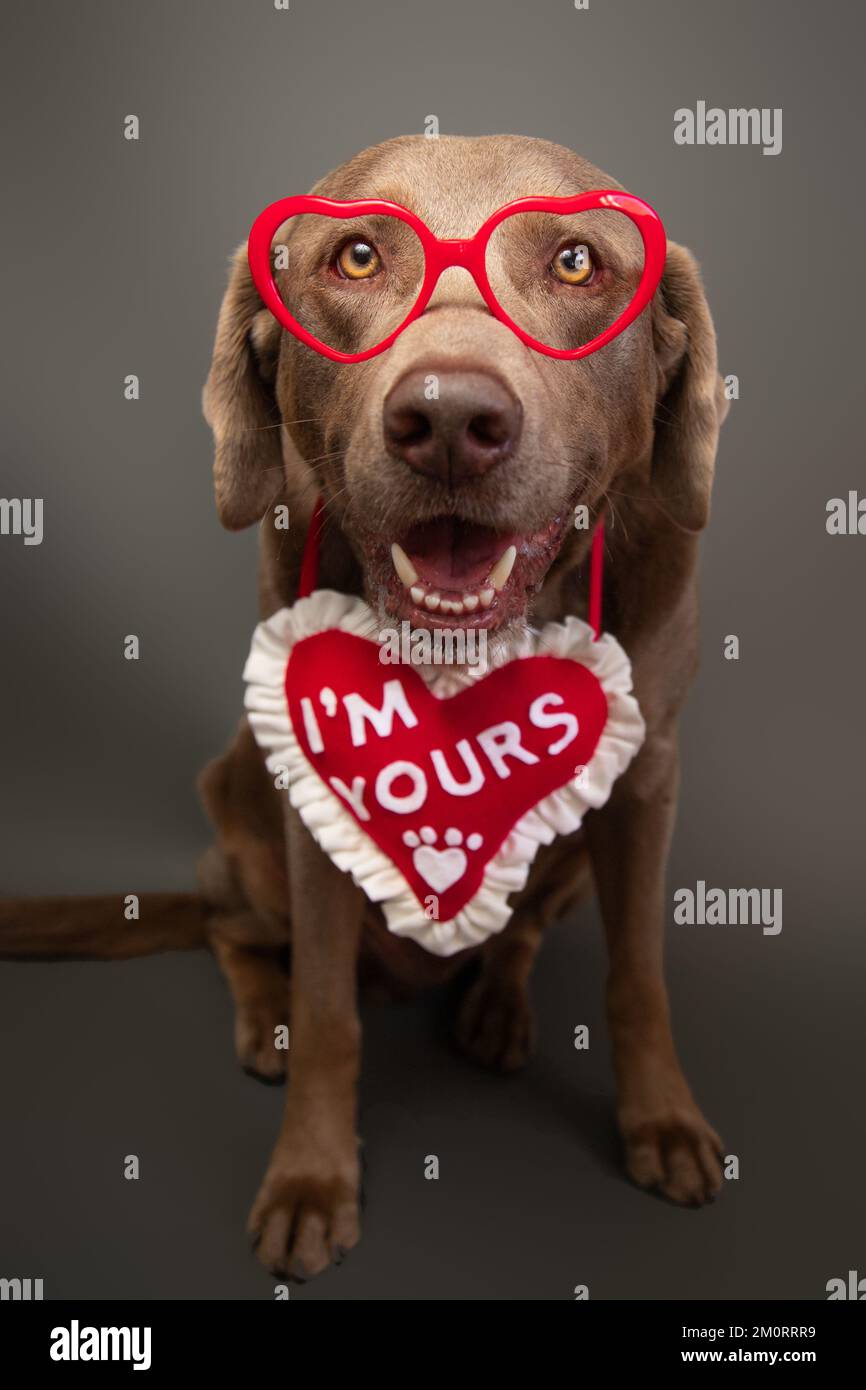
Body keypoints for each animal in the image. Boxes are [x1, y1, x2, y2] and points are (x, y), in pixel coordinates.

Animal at [1, 135, 733, 1273]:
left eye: (577, 262)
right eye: (354, 257)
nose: (450, 421)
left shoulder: (648, 773)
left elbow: (638, 979)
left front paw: (661, 1121)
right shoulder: (315, 792)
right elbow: (327, 1013)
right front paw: (309, 1178)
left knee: (520, 928)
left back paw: (495, 1007)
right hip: (238, 806)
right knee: (232, 927)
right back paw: (263, 1018)